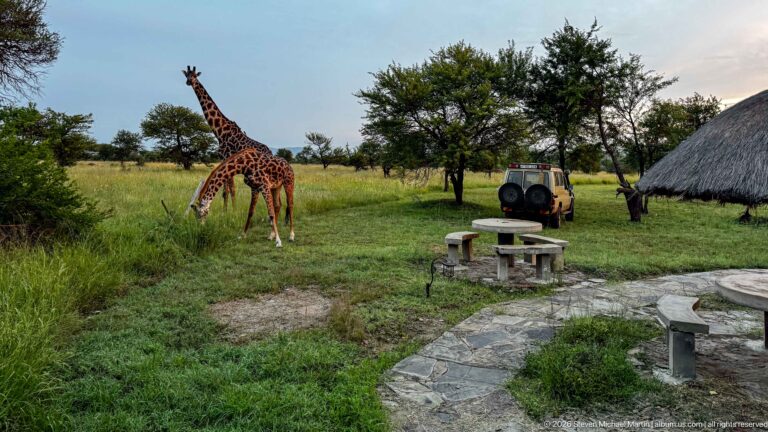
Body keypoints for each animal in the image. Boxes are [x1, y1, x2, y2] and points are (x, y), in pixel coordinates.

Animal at [182, 66, 273, 209]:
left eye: (195, 76)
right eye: (187, 75)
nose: (189, 82)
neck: (220, 132)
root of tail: (270, 152)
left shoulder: (228, 157)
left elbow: (231, 189)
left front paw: (233, 210)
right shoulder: (223, 159)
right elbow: (225, 191)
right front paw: (225, 210)